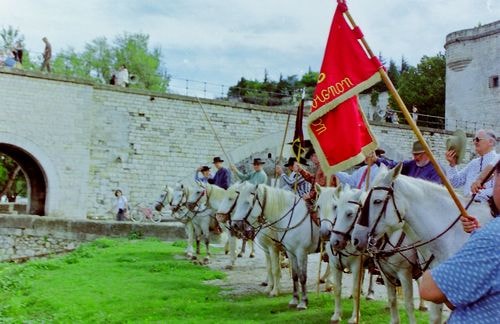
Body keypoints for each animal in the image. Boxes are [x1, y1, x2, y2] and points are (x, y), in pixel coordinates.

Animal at [224, 181, 320, 310]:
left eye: (247, 203)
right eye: (237, 201)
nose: (234, 225)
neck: (292, 217)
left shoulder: (298, 252)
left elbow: (300, 276)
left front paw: (302, 302)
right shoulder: (289, 252)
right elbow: (293, 274)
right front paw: (294, 300)